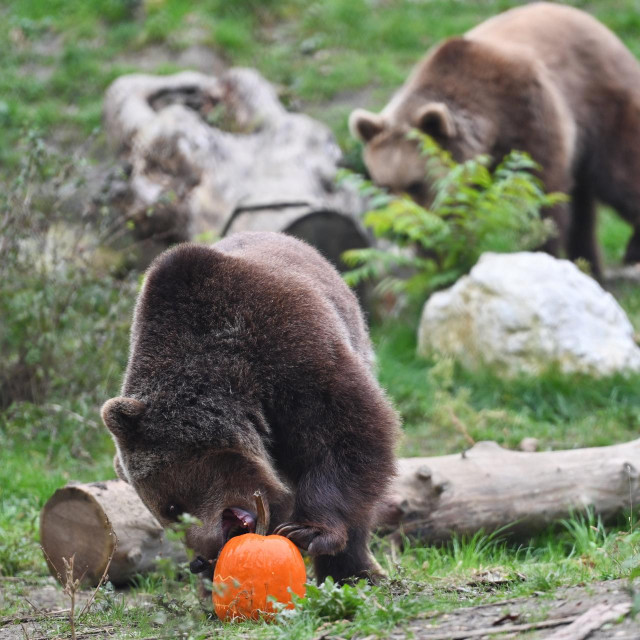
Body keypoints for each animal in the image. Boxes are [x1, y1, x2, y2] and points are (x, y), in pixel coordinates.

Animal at [102, 231, 398, 584]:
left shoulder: (289, 345)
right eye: (166, 515)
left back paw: (355, 570)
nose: (203, 558)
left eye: (173, 507)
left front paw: (308, 531)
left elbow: (346, 429)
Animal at [350, 2, 640, 278]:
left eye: (416, 184)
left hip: (599, 102)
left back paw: (628, 252)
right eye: (384, 186)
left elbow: (538, 198)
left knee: (617, 173)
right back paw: (589, 265)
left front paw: (538, 254)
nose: (402, 231)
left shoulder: (528, 117)